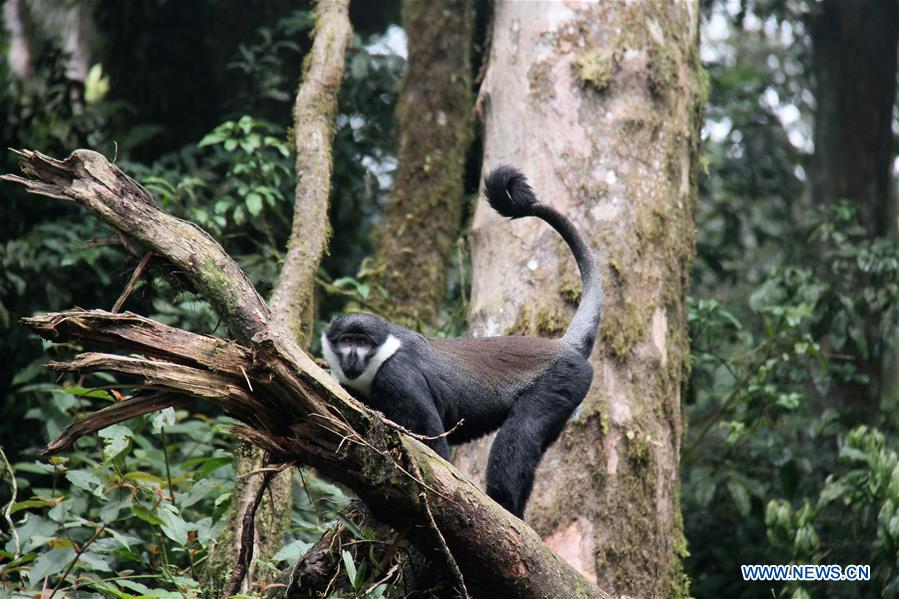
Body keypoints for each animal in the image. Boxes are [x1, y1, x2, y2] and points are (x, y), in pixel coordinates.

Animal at [320, 165, 600, 520]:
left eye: (362, 341)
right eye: (346, 340)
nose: (353, 357)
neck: (381, 355)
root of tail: (562, 347)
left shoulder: (397, 377)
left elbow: (433, 447)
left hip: (563, 380)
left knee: (521, 433)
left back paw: (504, 504)